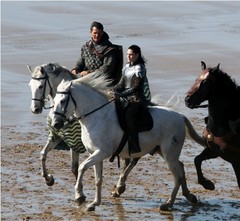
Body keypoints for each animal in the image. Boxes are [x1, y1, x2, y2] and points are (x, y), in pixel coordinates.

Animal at [51, 73, 205, 212]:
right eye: (55, 99)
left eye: (63, 100)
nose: (56, 124)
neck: (97, 116)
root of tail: (180, 116)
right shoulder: (95, 154)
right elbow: (98, 179)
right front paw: (94, 203)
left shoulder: (102, 153)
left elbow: (82, 167)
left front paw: (79, 196)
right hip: (163, 152)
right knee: (181, 168)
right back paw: (189, 196)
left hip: (169, 155)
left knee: (177, 176)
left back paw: (168, 204)